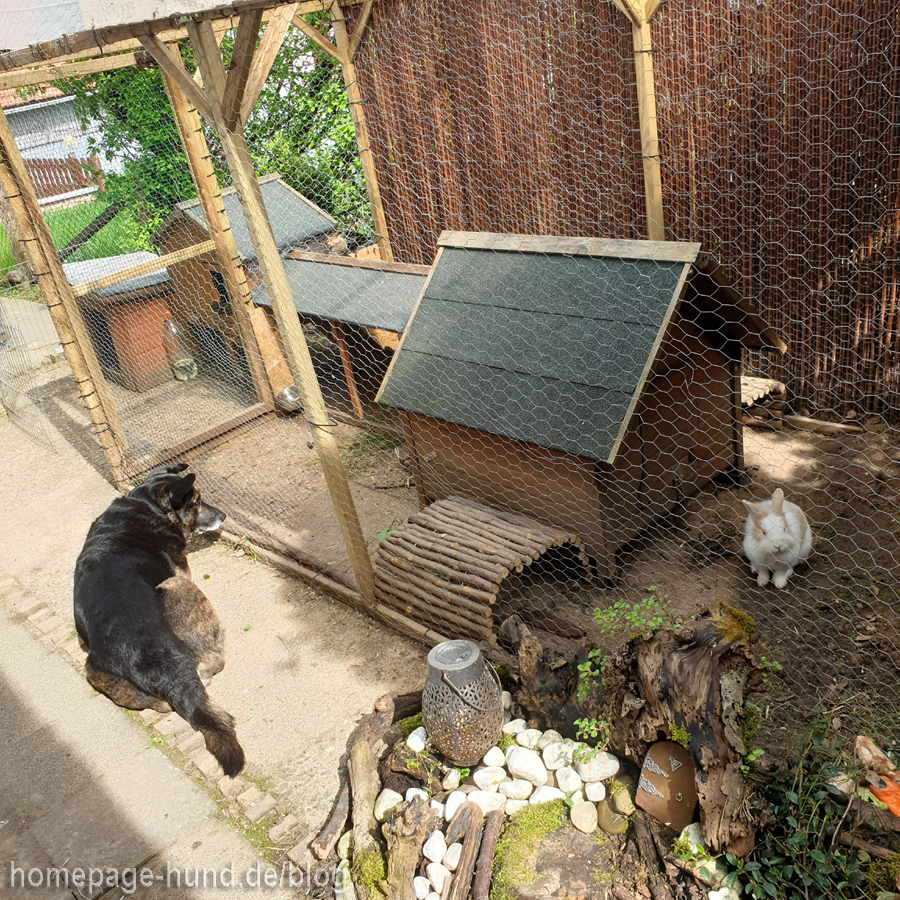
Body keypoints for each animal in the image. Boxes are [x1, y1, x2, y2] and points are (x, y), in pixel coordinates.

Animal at [73, 464, 244, 772]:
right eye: (196, 501)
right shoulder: (181, 572)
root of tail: (162, 668)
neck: (146, 507)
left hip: (92, 669)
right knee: (212, 662)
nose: (224, 516)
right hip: (176, 585)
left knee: (162, 704)